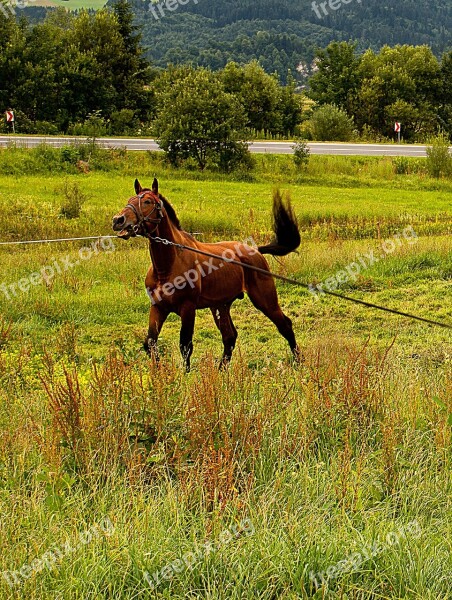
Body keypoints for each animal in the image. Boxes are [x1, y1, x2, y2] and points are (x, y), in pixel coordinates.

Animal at [111, 178, 300, 370]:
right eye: (130, 199)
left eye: (148, 201)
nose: (118, 220)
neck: (168, 267)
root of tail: (255, 250)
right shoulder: (158, 308)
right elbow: (150, 342)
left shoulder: (188, 308)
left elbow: (185, 345)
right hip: (220, 306)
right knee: (229, 336)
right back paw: (220, 371)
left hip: (265, 300)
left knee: (285, 325)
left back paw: (299, 361)